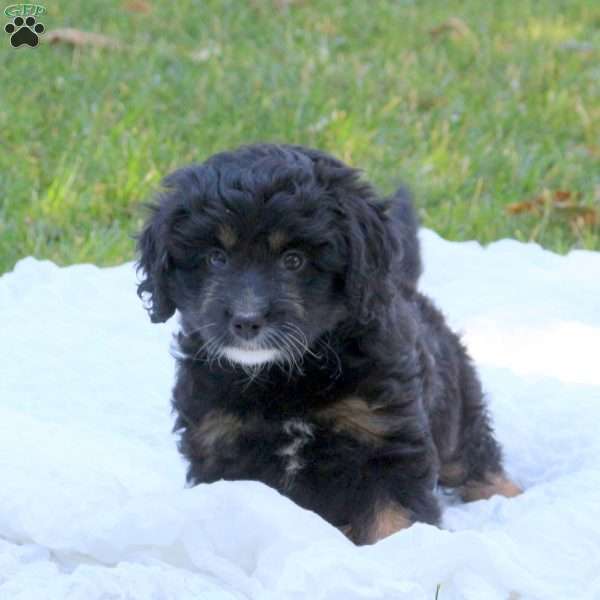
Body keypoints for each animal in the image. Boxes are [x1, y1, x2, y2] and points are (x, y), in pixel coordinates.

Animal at [137, 143, 520, 548]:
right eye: (215, 257)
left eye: (294, 260)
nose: (246, 320)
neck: (283, 376)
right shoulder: (220, 442)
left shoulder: (385, 439)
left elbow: (392, 520)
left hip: (457, 401)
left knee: (472, 453)